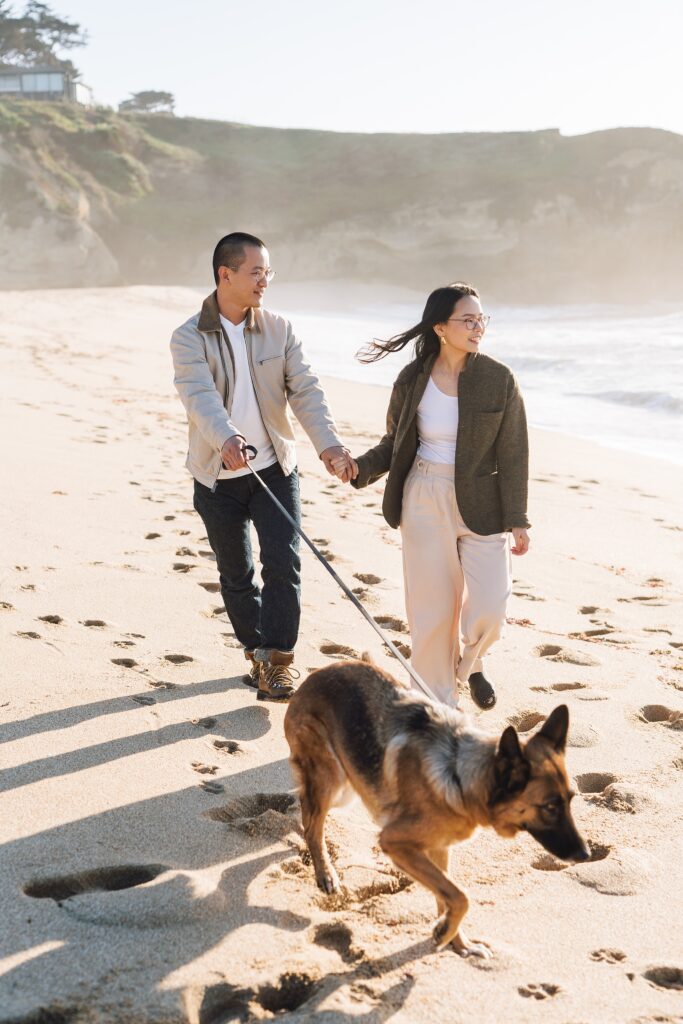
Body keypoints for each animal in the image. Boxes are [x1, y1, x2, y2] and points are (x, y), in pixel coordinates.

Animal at [286, 659, 589, 954]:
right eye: (549, 807)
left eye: (571, 800)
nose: (586, 855)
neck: (459, 775)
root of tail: (314, 675)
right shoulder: (395, 841)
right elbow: (460, 895)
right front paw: (445, 932)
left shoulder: (439, 847)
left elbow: (446, 894)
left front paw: (457, 941)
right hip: (334, 779)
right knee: (313, 827)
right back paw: (325, 873)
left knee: (307, 811)